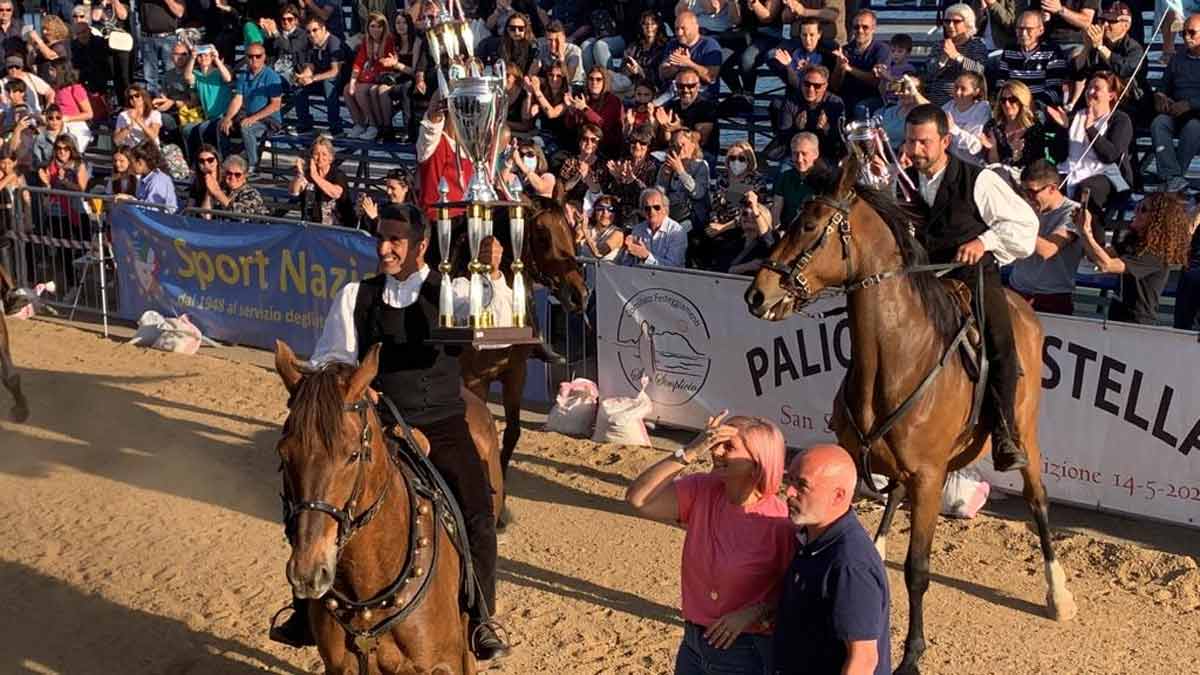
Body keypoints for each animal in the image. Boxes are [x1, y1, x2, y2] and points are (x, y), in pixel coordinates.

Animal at [458, 194, 590, 482]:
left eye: (570, 228)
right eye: (541, 234)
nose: (580, 295)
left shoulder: (516, 372)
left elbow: (512, 432)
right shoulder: (474, 380)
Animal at [739, 156, 1080, 667]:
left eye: (810, 225)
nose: (758, 295)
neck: (898, 356)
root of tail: (1024, 308)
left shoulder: (929, 477)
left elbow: (918, 570)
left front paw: (912, 652)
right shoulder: (864, 461)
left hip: (1025, 434)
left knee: (1037, 499)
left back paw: (1058, 594)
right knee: (894, 491)